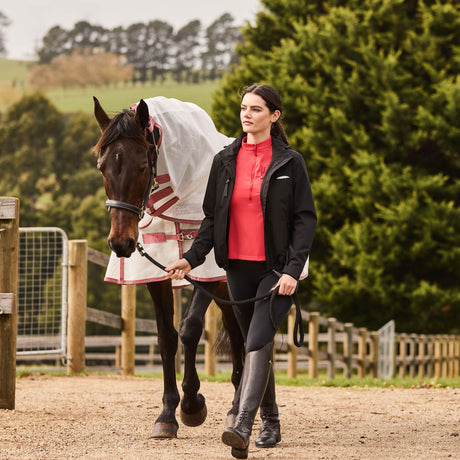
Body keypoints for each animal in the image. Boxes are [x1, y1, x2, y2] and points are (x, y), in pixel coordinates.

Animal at [91, 96, 246, 438]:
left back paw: (237, 408)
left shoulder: (205, 273)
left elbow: (190, 329)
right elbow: (166, 338)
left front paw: (192, 404)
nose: (121, 242)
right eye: (102, 167)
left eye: (141, 166)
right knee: (237, 332)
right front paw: (167, 415)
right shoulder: (158, 276)